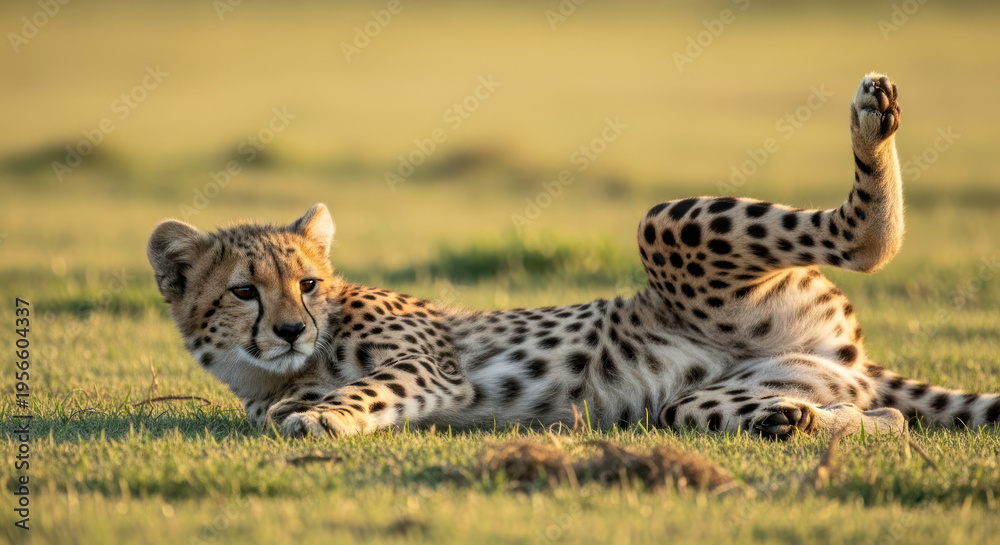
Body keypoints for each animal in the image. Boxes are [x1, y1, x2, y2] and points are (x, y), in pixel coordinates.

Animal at [148, 73, 1000, 439]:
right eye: (244, 292)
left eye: (309, 283)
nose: (293, 329)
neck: (282, 369)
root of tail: (848, 356)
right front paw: (303, 407)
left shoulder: (430, 367)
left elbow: (360, 391)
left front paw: (321, 414)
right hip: (706, 398)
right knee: (881, 417)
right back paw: (805, 421)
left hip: (669, 224)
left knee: (867, 239)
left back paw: (872, 119)